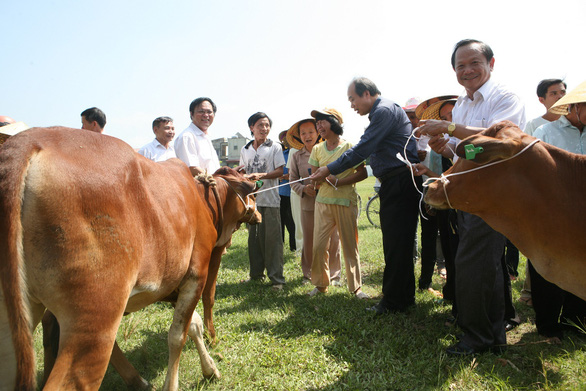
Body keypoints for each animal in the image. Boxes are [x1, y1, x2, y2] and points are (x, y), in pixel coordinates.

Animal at [0, 127, 260, 390]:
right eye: (254, 196)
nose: (258, 215)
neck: (200, 199)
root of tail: (27, 143)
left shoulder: (173, 285)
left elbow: (193, 324)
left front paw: (210, 368)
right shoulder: (196, 274)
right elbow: (179, 334)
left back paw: (137, 380)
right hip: (95, 320)